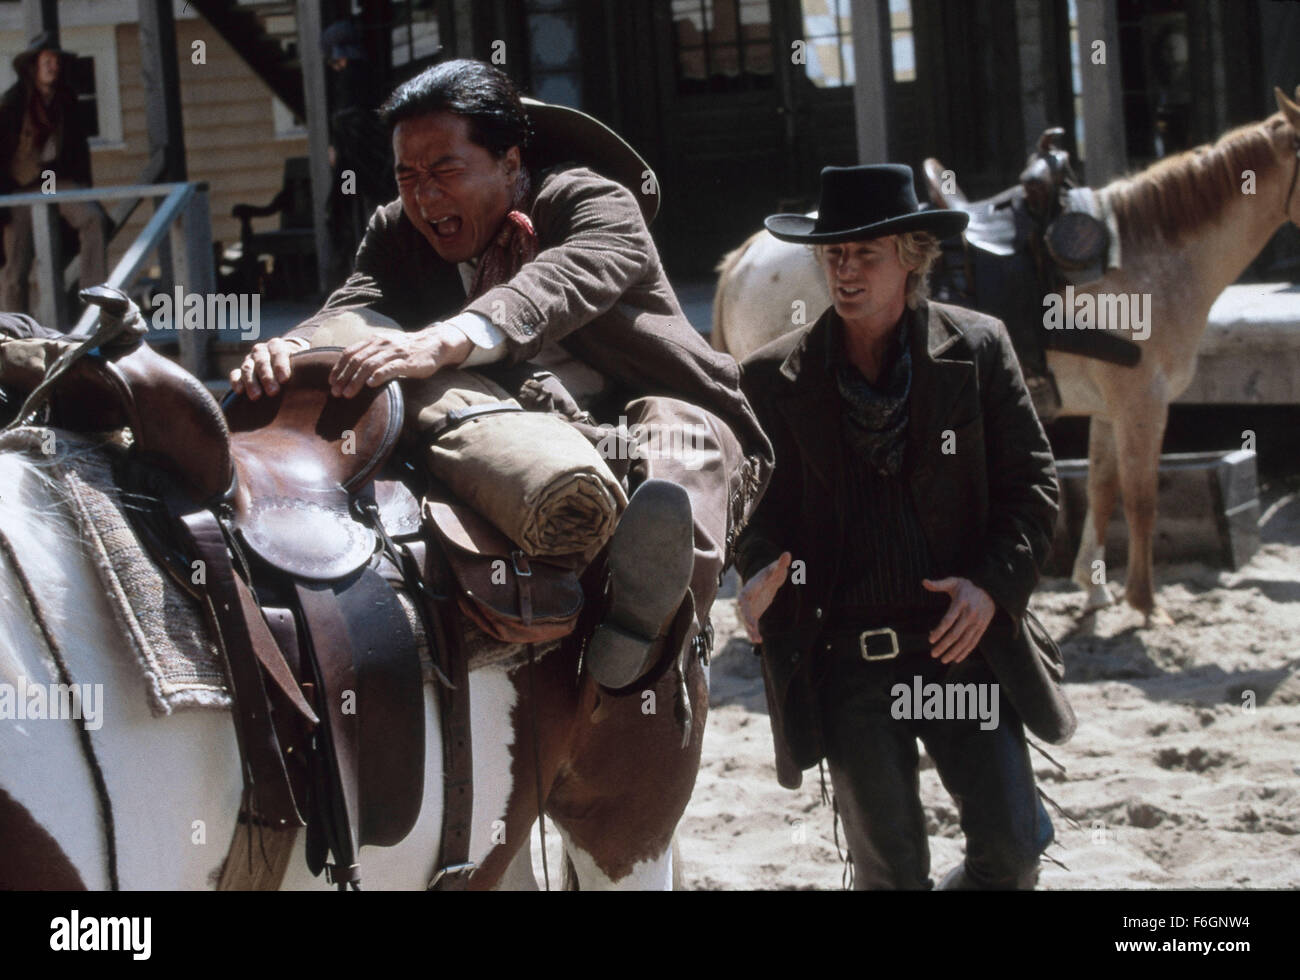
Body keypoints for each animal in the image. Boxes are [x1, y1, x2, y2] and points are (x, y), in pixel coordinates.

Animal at [712, 85, 1300, 618]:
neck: (1148, 254)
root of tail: (744, 258)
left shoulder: (1111, 407)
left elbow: (1103, 489)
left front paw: (1096, 592)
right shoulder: (1143, 401)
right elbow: (1140, 499)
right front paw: (1146, 606)